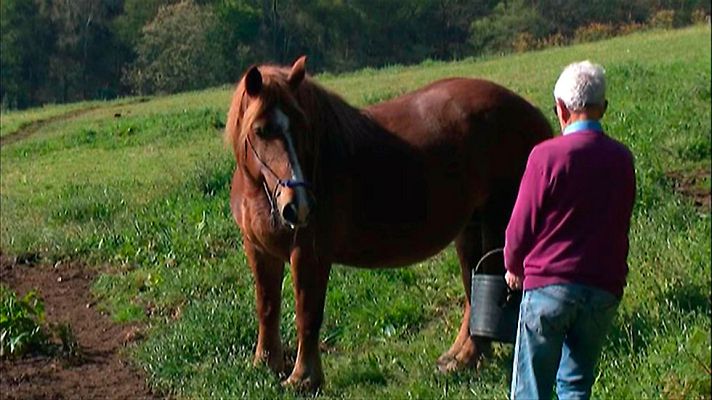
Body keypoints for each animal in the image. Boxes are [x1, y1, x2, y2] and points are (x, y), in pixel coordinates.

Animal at [225, 56, 552, 390]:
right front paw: (265, 365)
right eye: (261, 130)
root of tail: (533, 115)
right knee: (475, 289)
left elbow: (307, 315)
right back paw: (461, 358)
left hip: (498, 222)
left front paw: (303, 378)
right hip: (471, 228)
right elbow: (267, 307)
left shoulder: (308, 254)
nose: (298, 205)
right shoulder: (259, 251)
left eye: (302, 126)